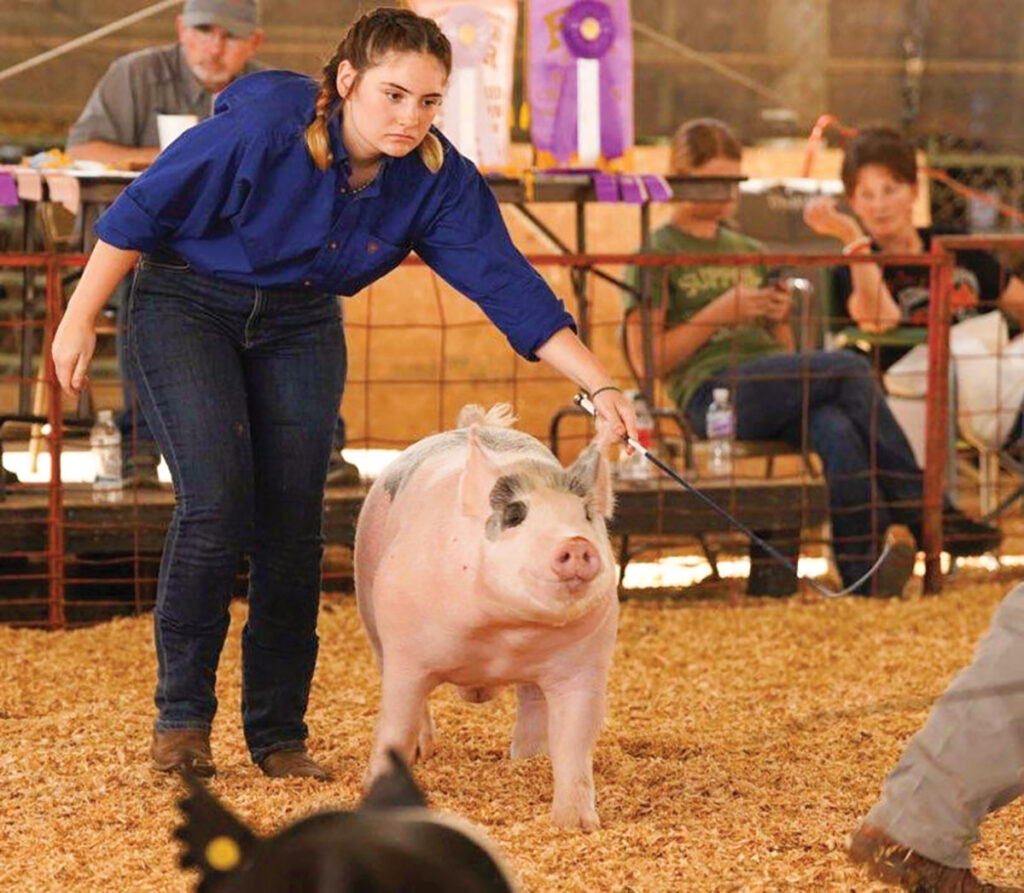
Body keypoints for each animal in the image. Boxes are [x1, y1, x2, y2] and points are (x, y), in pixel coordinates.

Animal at [356, 405, 618, 831]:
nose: (577, 544)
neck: (505, 633)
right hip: (373, 622)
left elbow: (574, 739)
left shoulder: (586, 665)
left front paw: (577, 826)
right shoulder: (405, 653)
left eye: (585, 515)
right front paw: (377, 785)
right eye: (515, 515)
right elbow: (396, 721)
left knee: (531, 698)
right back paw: (423, 752)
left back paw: (528, 757)